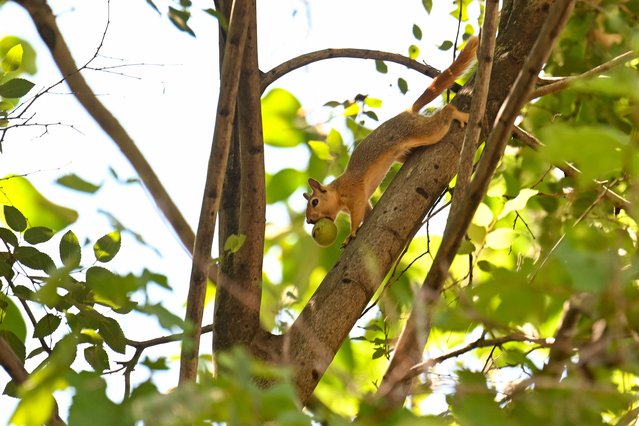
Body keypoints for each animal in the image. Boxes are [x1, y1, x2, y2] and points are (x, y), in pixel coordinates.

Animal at [304, 37, 480, 245]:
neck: (337, 191)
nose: (308, 220)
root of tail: (407, 111)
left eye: (314, 202)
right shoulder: (362, 201)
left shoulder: (355, 194)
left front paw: (351, 234)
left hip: (424, 131)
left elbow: (357, 215)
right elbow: (367, 211)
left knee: (446, 113)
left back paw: (458, 114)